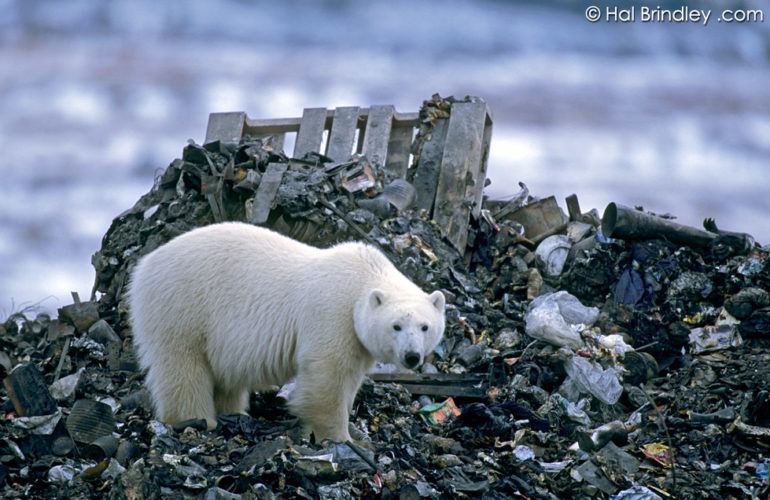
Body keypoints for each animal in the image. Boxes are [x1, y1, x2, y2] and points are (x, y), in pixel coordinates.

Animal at [129, 223, 444, 442]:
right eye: (396, 326)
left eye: (425, 326)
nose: (412, 356)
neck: (363, 278)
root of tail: (143, 265)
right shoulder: (332, 313)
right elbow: (327, 379)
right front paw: (342, 438)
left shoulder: (357, 338)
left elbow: (349, 378)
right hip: (183, 307)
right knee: (183, 367)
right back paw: (196, 420)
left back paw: (234, 412)